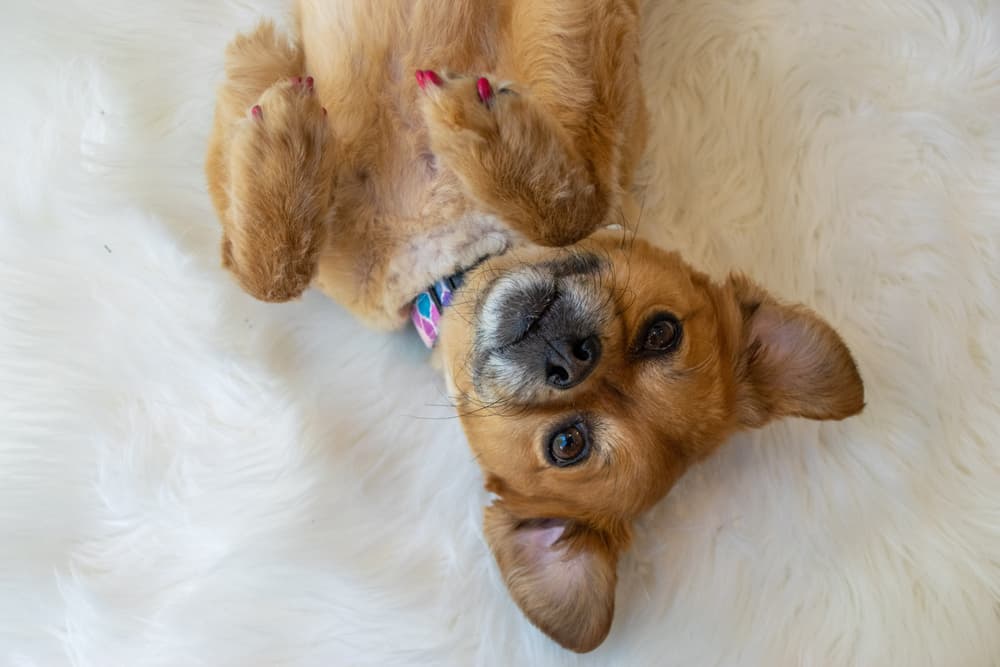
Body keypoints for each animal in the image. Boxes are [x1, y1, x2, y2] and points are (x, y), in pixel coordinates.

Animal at [207, 0, 864, 656]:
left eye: (567, 444)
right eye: (663, 333)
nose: (572, 358)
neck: (461, 251)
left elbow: (576, 204)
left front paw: (477, 127)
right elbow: (262, 276)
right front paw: (283, 138)